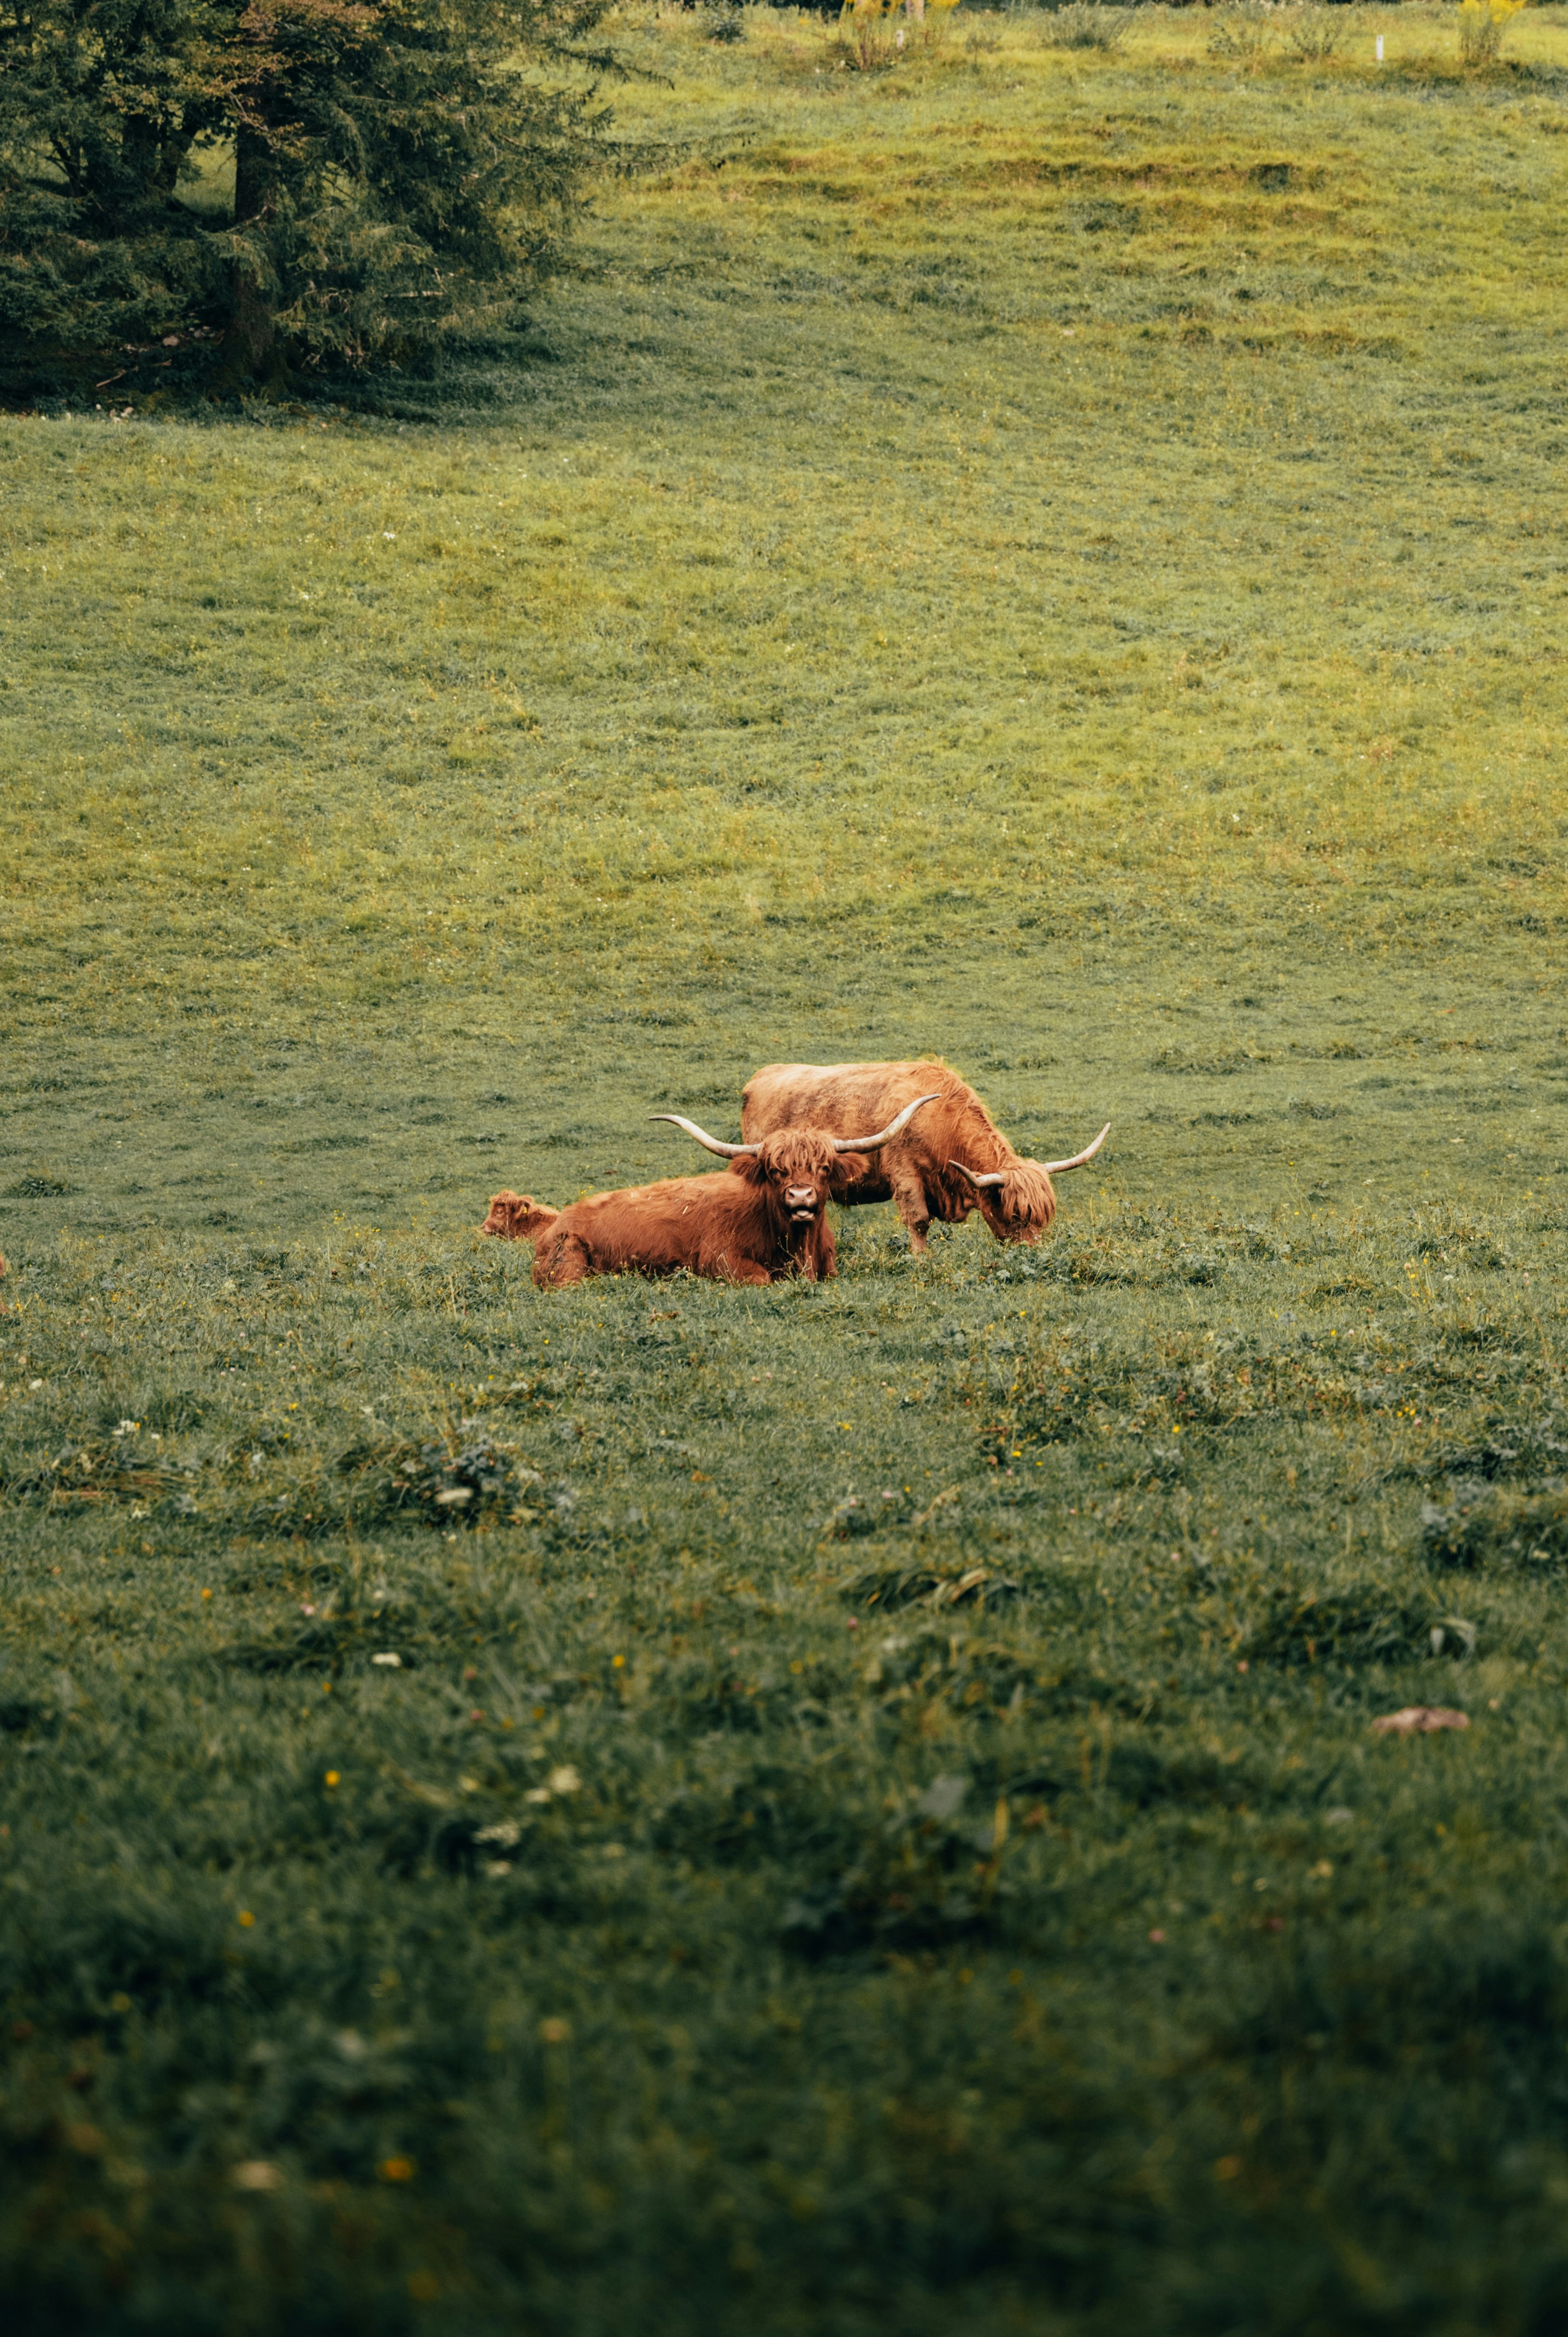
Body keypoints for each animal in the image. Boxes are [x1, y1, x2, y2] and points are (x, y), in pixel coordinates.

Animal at [479, 1092, 938, 1289]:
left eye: (824, 1168)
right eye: (776, 1171)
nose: (801, 1199)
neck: (798, 1249)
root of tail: (559, 1222)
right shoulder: (720, 1261)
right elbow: (760, 1279)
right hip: (571, 1271)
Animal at [739, 1060, 1108, 1255]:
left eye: (1045, 1218)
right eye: (1017, 1215)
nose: (1036, 1253)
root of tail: (759, 1077)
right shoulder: (905, 1174)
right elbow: (918, 1222)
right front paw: (921, 1261)